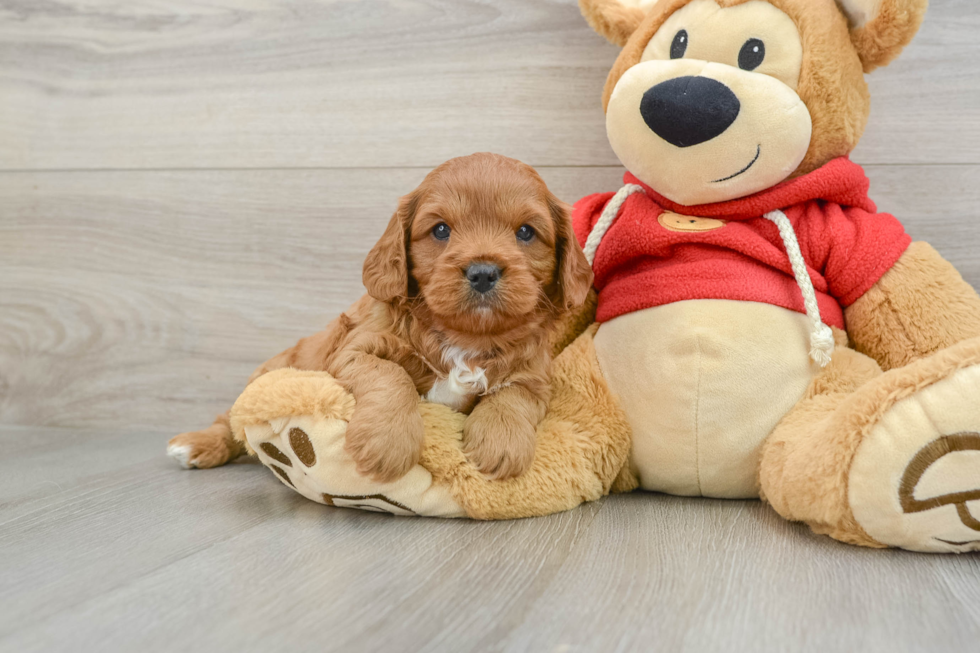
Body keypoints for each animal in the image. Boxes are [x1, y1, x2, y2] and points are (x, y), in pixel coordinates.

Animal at [168, 153, 592, 478]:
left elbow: (512, 395)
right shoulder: (354, 350)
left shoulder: (535, 375)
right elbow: (391, 375)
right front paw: (386, 444)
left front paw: (499, 445)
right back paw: (195, 445)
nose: (483, 272)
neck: (465, 337)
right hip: (266, 377)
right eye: (441, 230)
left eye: (526, 232)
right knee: (230, 421)